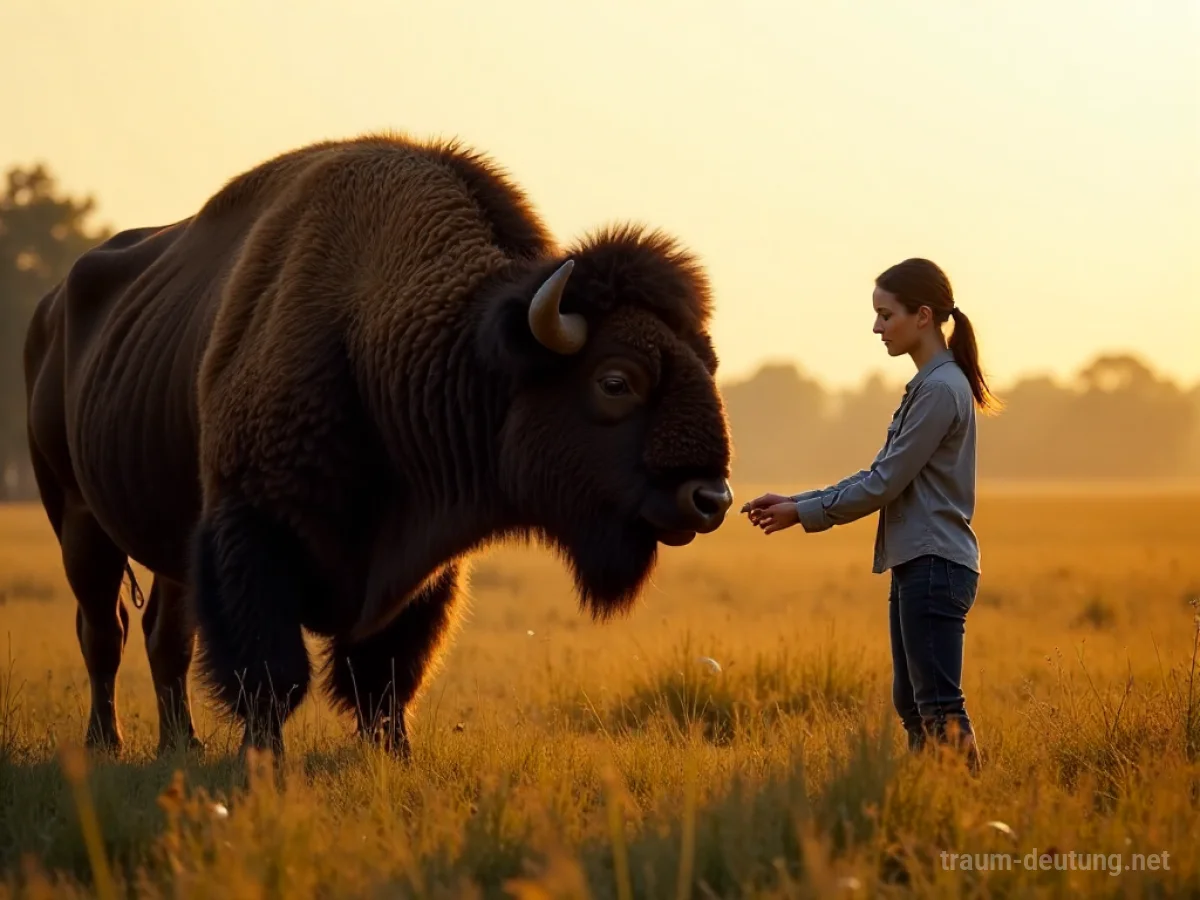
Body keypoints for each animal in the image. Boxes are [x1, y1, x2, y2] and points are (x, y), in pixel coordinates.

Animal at [23, 133, 734, 758]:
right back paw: (106, 742)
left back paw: (182, 744)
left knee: (163, 636)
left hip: (165, 545)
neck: (379, 339)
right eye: (615, 380)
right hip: (77, 520)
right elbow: (271, 675)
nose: (710, 498)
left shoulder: (422, 570)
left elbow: (385, 675)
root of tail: (51, 308)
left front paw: (394, 754)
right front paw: (263, 760)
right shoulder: (250, 534)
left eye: (708, 365)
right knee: (104, 632)